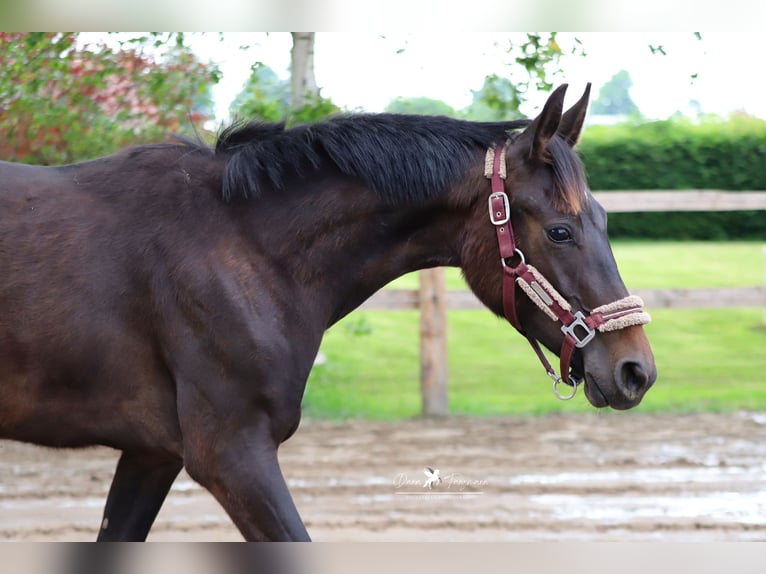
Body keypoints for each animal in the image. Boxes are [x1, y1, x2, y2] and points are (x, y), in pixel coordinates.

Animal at [0, 83, 660, 544]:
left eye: (603, 219)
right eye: (560, 230)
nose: (637, 370)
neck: (240, 244)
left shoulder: (151, 455)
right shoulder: (231, 454)